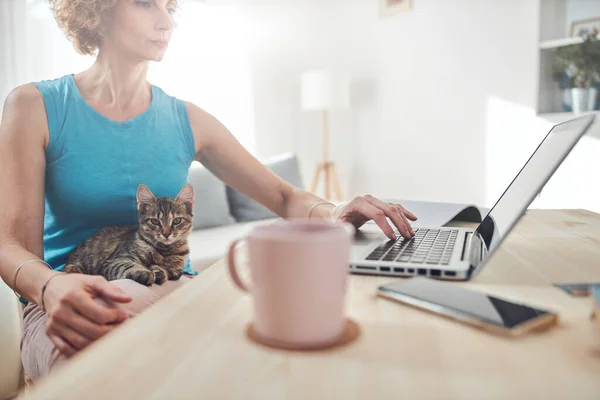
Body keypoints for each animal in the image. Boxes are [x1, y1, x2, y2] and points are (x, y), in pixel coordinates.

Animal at [63, 183, 195, 286]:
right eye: (155, 221)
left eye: (177, 220)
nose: (166, 234)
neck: (164, 251)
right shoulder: (115, 261)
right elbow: (127, 265)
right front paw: (144, 272)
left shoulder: (177, 270)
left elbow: (170, 271)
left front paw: (159, 270)